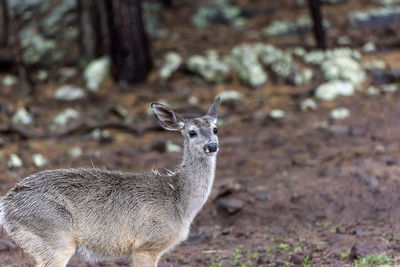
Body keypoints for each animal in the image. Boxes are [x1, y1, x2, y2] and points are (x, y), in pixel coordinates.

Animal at [0, 98, 220, 267]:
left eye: (215, 129)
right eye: (192, 132)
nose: (212, 146)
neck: (179, 201)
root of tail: (6, 205)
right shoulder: (148, 244)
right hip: (55, 237)